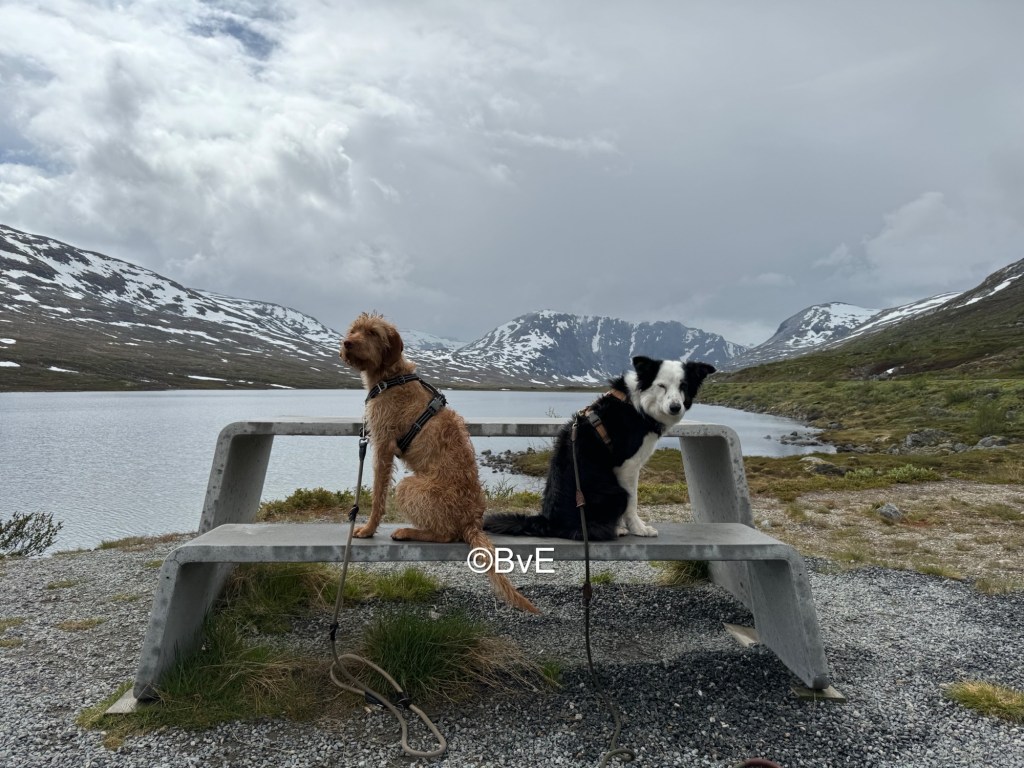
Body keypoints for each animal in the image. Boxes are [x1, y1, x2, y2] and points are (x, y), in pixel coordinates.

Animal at [339, 312, 538, 613]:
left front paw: (368, 528)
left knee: (446, 534)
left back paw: (407, 531)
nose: (348, 343)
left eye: (373, 332)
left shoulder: (383, 445)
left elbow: (378, 494)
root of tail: (472, 521)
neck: (391, 375)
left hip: (409, 487)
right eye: (354, 330)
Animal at [484, 356, 715, 541]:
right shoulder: (627, 466)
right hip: (615, 492)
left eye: (683, 386)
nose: (675, 407)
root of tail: (548, 522)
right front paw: (638, 529)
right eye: (661, 386)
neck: (637, 404)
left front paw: (625, 527)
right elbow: (633, 502)